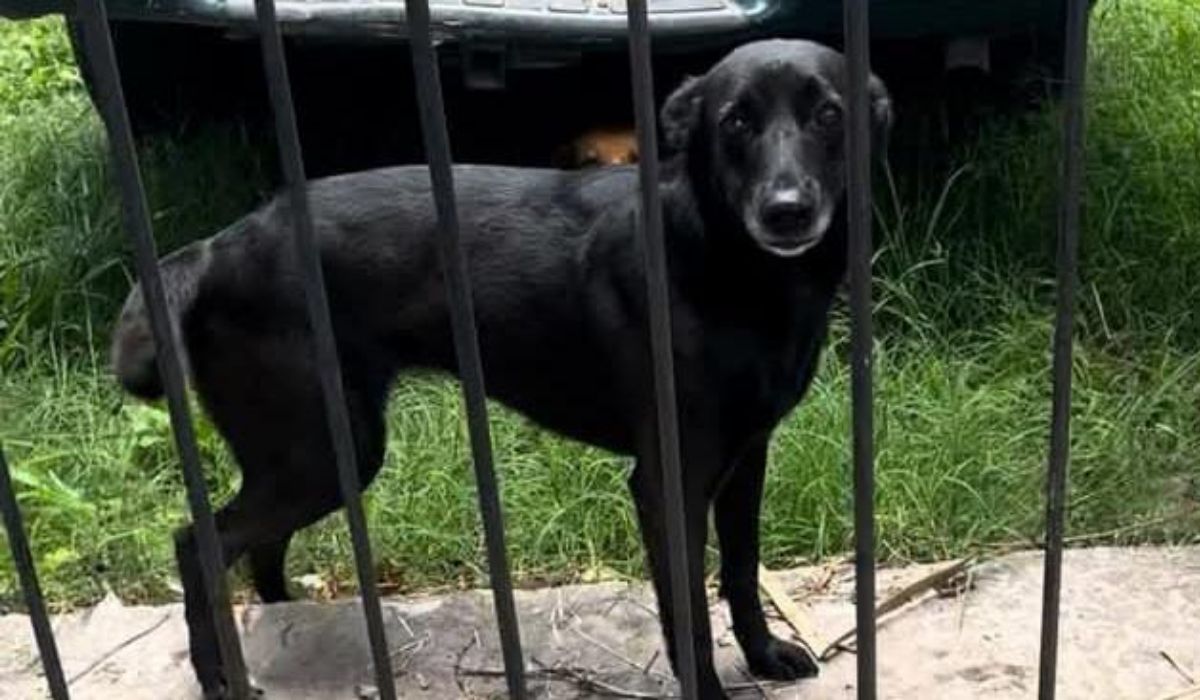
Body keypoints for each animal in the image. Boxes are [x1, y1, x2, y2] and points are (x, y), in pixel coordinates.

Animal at [110, 39, 891, 699]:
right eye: (735, 122)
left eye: (829, 114)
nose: (787, 211)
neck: (727, 264)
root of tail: (217, 246)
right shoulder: (668, 480)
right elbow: (687, 617)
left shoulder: (745, 458)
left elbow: (741, 570)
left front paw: (764, 655)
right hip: (323, 450)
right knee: (198, 544)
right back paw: (220, 675)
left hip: (314, 456)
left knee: (257, 546)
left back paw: (289, 623)